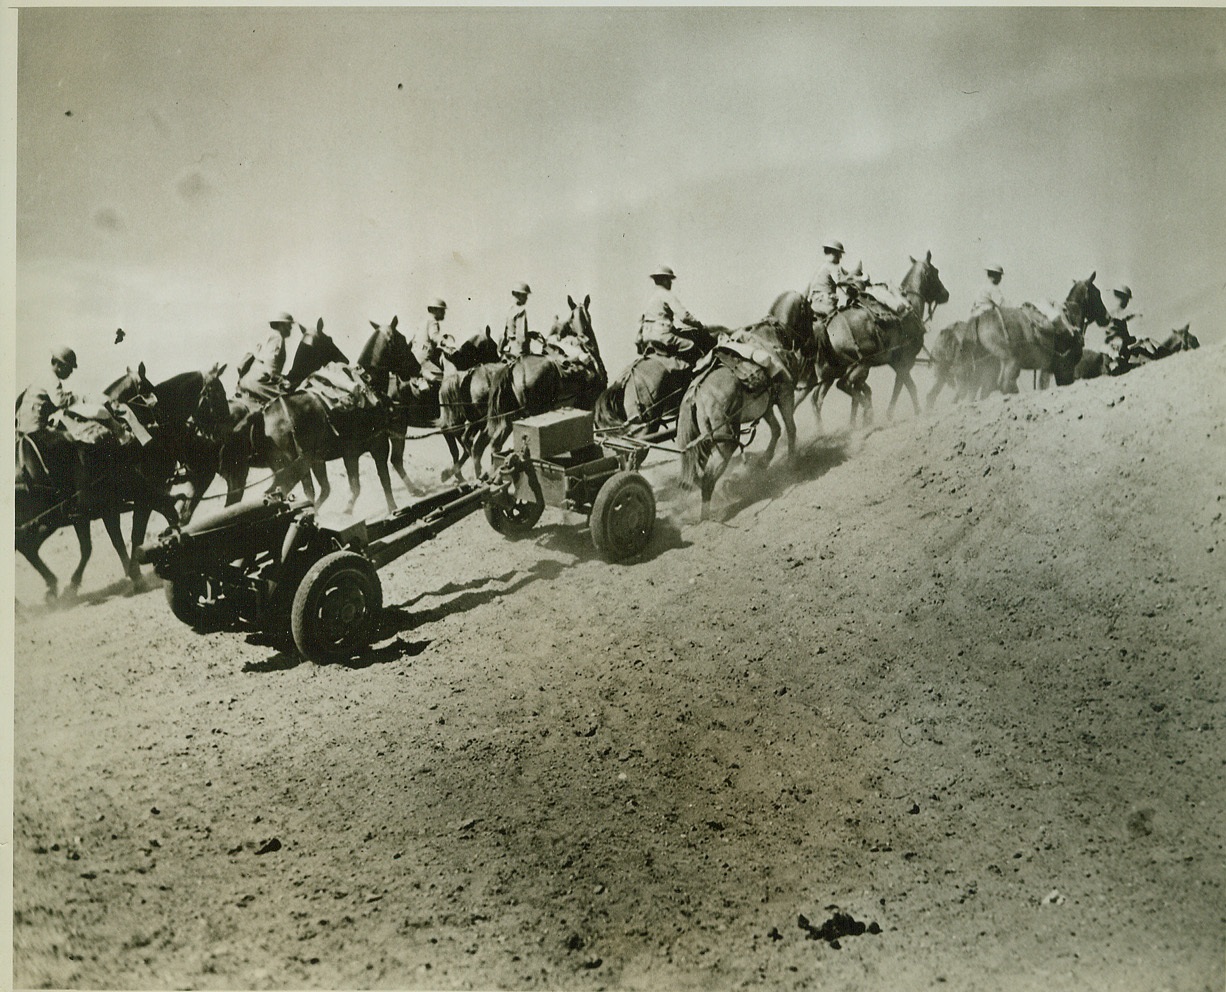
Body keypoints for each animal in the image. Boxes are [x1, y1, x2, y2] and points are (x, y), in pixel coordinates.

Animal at [671, 290, 814, 522]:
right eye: (810, 314)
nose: (811, 347)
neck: (768, 339)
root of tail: (695, 394)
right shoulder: (785, 394)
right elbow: (790, 428)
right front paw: (792, 462)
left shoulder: (766, 403)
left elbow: (776, 429)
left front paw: (765, 461)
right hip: (726, 442)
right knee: (708, 478)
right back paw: (709, 514)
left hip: (703, 444)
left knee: (695, 476)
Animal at [818, 251, 951, 426]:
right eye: (935, 272)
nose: (946, 294)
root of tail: (827, 328)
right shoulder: (905, 360)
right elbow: (907, 386)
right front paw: (914, 412)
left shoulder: (895, 362)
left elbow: (902, 384)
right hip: (861, 364)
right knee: (845, 384)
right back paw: (867, 412)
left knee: (829, 394)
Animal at [966, 274, 1113, 394]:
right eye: (1097, 292)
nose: (1107, 317)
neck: (1070, 317)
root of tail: (979, 319)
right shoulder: (1065, 368)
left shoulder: (1049, 369)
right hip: (1010, 361)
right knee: (1005, 384)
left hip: (988, 366)